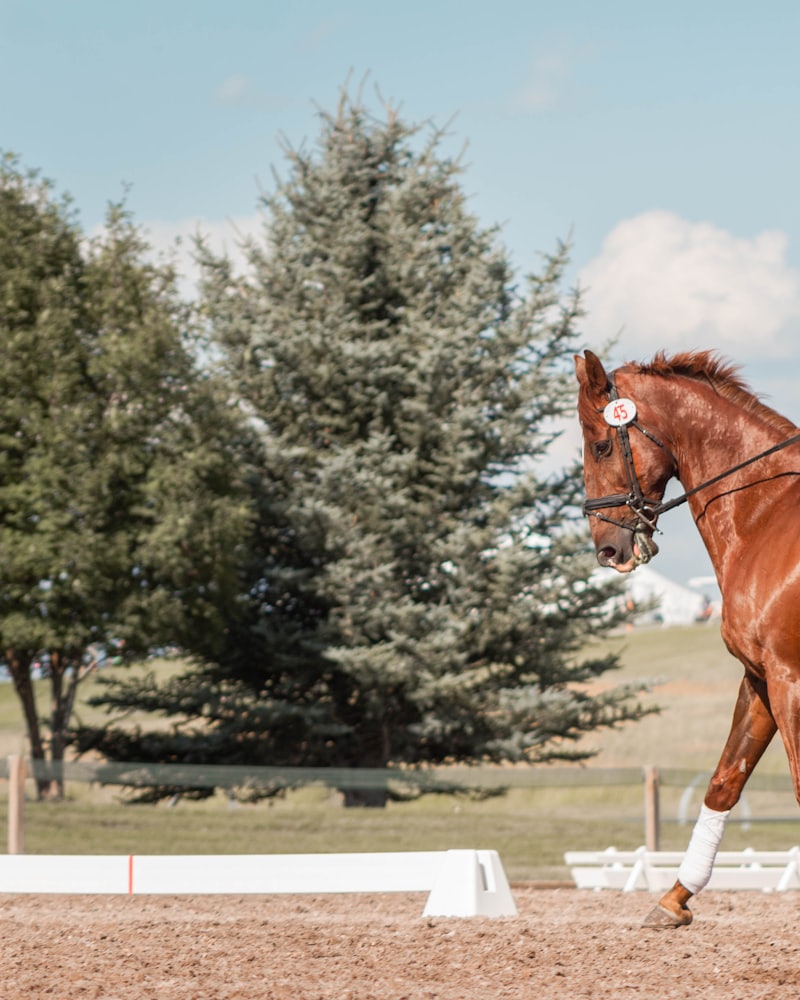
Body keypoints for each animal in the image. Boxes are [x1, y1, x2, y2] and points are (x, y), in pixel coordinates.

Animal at [575, 349, 800, 928]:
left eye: (601, 444)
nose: (607, 550)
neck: (764, 512)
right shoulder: (759, 677)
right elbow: (725, 780)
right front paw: (675, 898)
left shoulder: (789, 678)